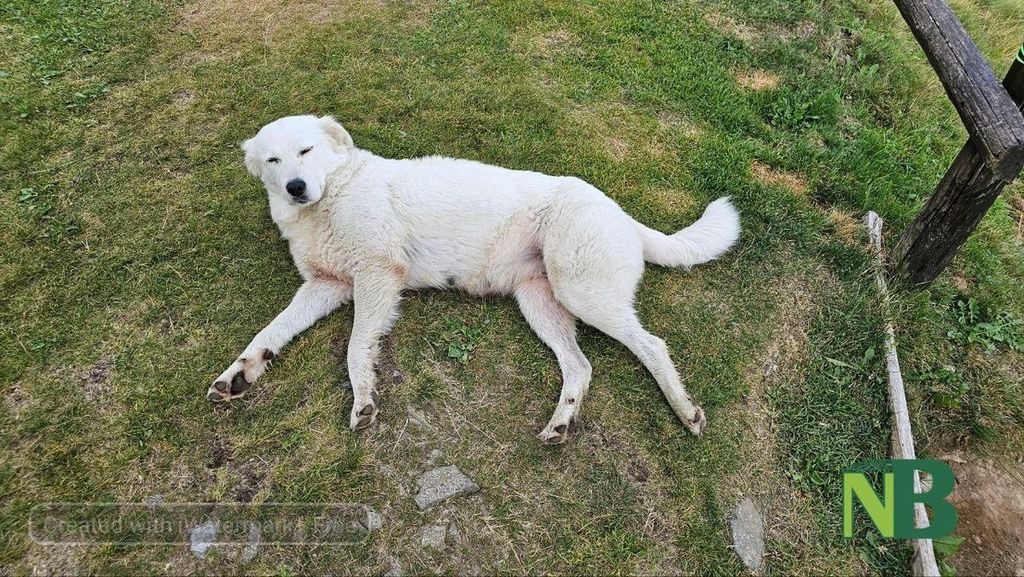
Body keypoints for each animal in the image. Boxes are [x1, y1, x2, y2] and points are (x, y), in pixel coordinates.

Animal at [209, 115, 740, 444]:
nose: (296, 188)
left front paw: (363, 400)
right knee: (580, 366)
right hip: (541, 304)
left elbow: (357, 348)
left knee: (653, 345)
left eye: (306, 149)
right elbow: (269, 332)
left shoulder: (378, 277)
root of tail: (623, 214)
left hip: (582, 292)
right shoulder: (327, 286)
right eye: (274, 161)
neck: (332, 195)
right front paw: (239, 373)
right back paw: (561, 423)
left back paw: (685, 410)